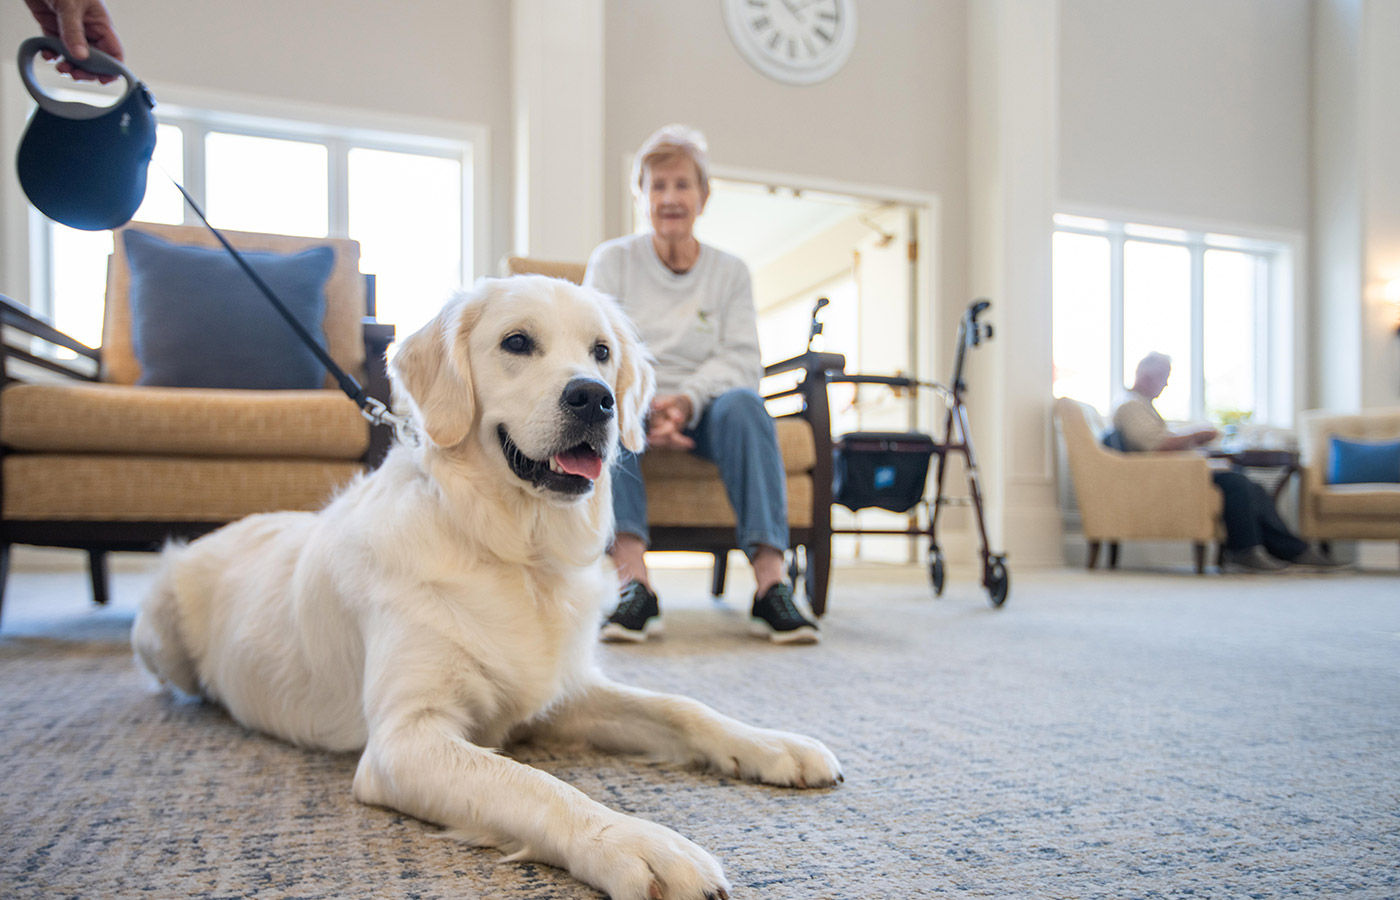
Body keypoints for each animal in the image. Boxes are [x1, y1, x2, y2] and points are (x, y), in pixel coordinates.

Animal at [133, 275, 840, 900]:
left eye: (602, 352)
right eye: (516, 343)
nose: (595, 399)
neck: (514, 552)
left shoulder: (562, 692)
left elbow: (682, 708)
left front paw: (773, 745)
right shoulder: (404, 741)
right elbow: (530, 782)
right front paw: (634, 843)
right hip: (159, 630)